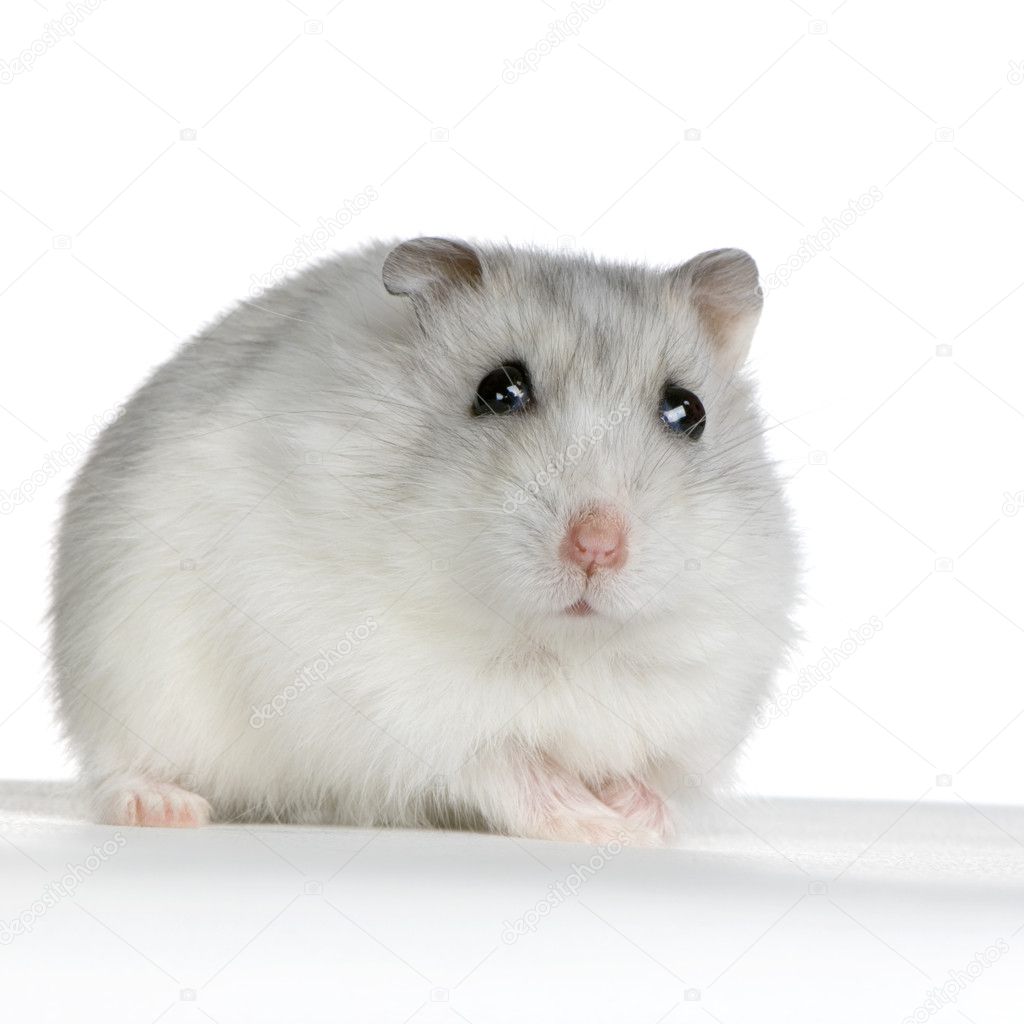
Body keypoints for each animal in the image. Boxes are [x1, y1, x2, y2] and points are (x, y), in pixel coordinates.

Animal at [49, 237, 798, 844]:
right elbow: (505, 762)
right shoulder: (392, 698)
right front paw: (595, 825)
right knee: (114, 769)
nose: (596, 547)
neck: (563, 644)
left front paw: (645, 820)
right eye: (498, 390)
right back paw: (164, 808)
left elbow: (645, 773)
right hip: (124, 673)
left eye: (687, 411)